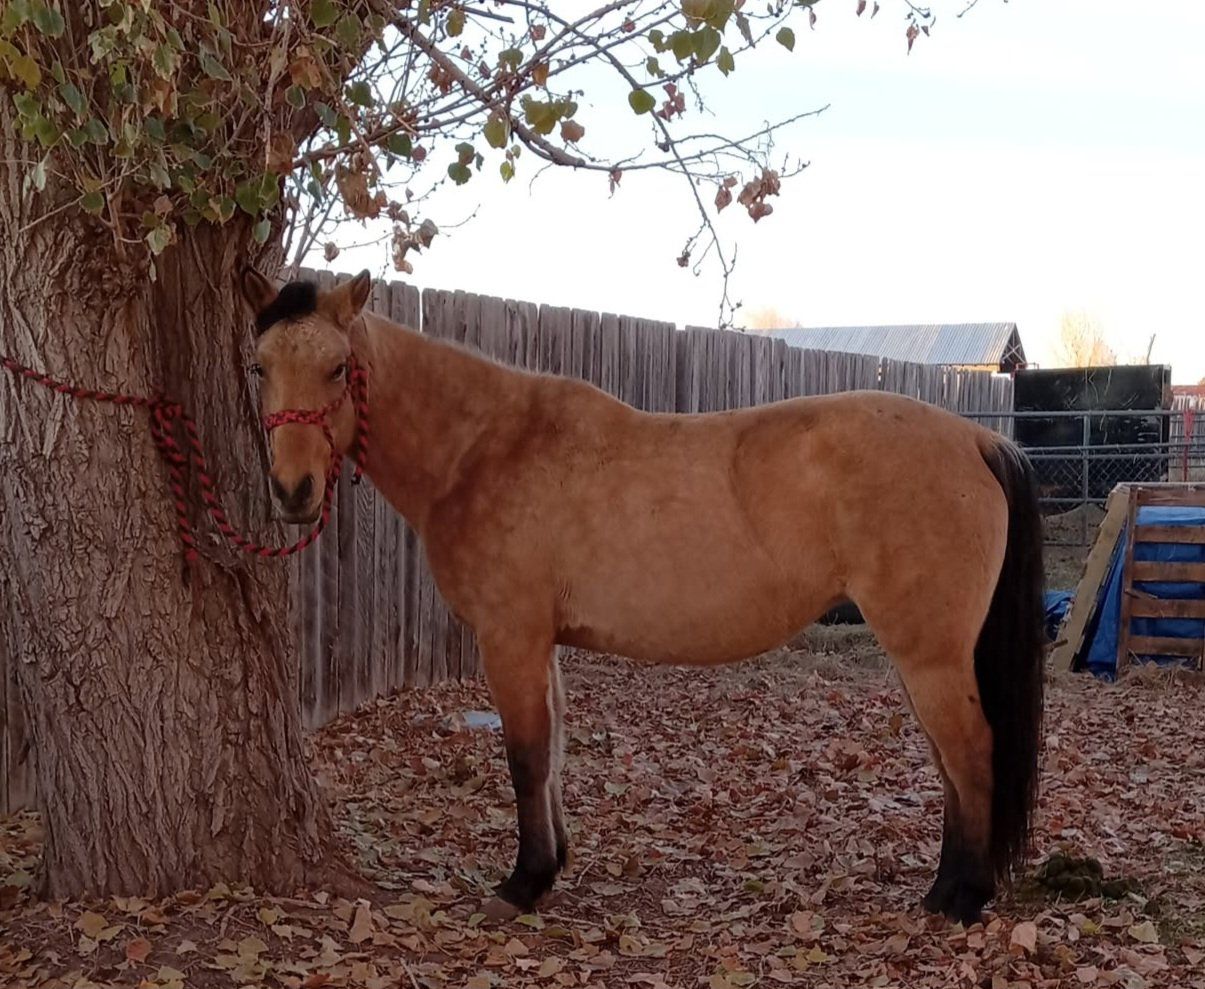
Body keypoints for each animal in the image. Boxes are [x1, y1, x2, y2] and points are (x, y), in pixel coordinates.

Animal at [238, 267, 1045, 925]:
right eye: (260, 366)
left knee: (970, 751)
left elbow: (525, 757)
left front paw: (522, 884)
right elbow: (552, 753)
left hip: (928, 651)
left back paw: (963, 898)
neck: (483, 449)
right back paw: (943, 890)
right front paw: (550, 867)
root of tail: (976, 439)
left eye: (338, 368)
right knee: (949, 760)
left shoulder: (510, 637)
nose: (292, 492)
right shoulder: (541, 644)